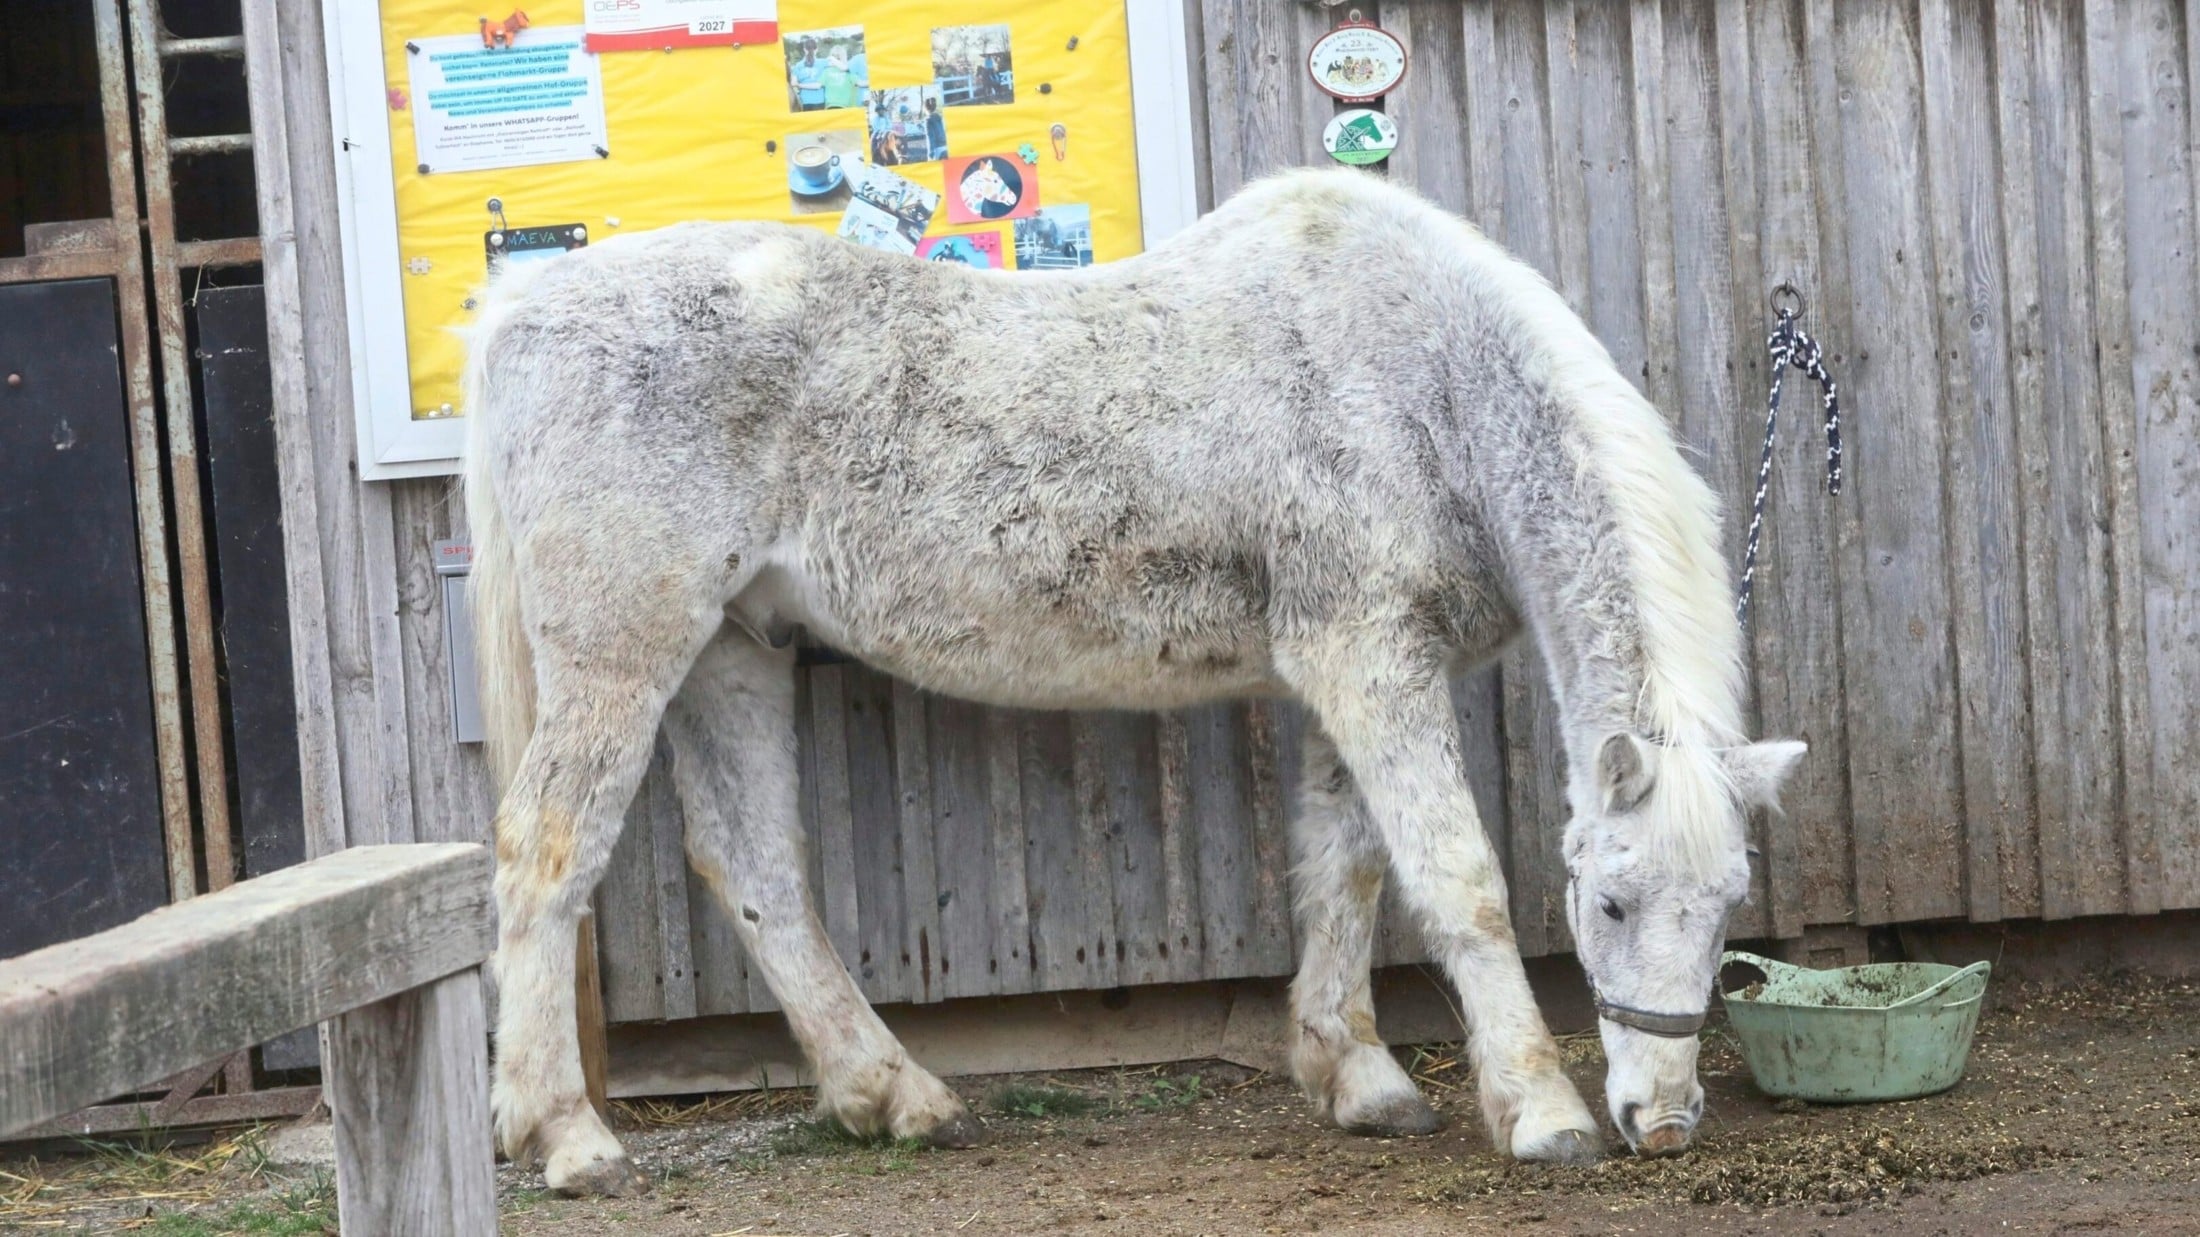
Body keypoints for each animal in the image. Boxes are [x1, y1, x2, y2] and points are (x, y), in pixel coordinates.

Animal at [459, 168, 1804, 1188]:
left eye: (1727, 902)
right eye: (1610, 902)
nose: (1663, 1120)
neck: (1420, 381)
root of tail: (524, 305)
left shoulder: (1349, 672)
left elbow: (1346, 867)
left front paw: (1356, 1077)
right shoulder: (1371, 661)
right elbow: (1455, 880)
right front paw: (1540, 1110)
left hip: (734, 648)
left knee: (756, 870)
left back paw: (892, 1095)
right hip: (623, 647)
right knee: (547, 853)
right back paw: (567, 1137)